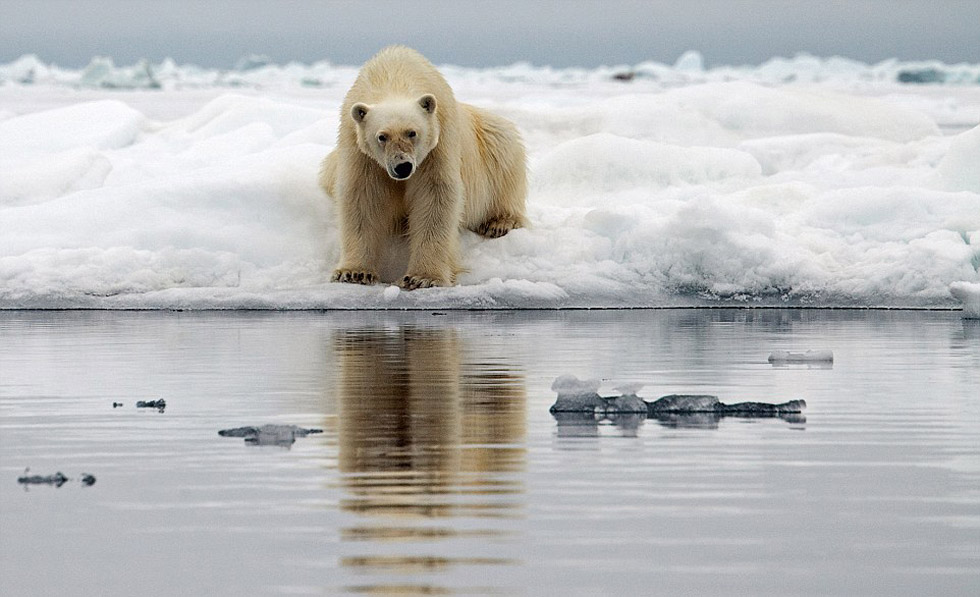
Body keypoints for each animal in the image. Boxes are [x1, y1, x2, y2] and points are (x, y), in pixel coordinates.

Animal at [318, 46, 524, 288]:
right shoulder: (359, 149)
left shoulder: (438, 142)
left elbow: (435, 196)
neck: (394, 77)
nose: (403, 167)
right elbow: (363, 196)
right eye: (382, 136)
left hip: (489, 140)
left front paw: (422, 278)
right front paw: (354, 272)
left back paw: (498, 222)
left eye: (412, 132)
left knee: (503, 150)